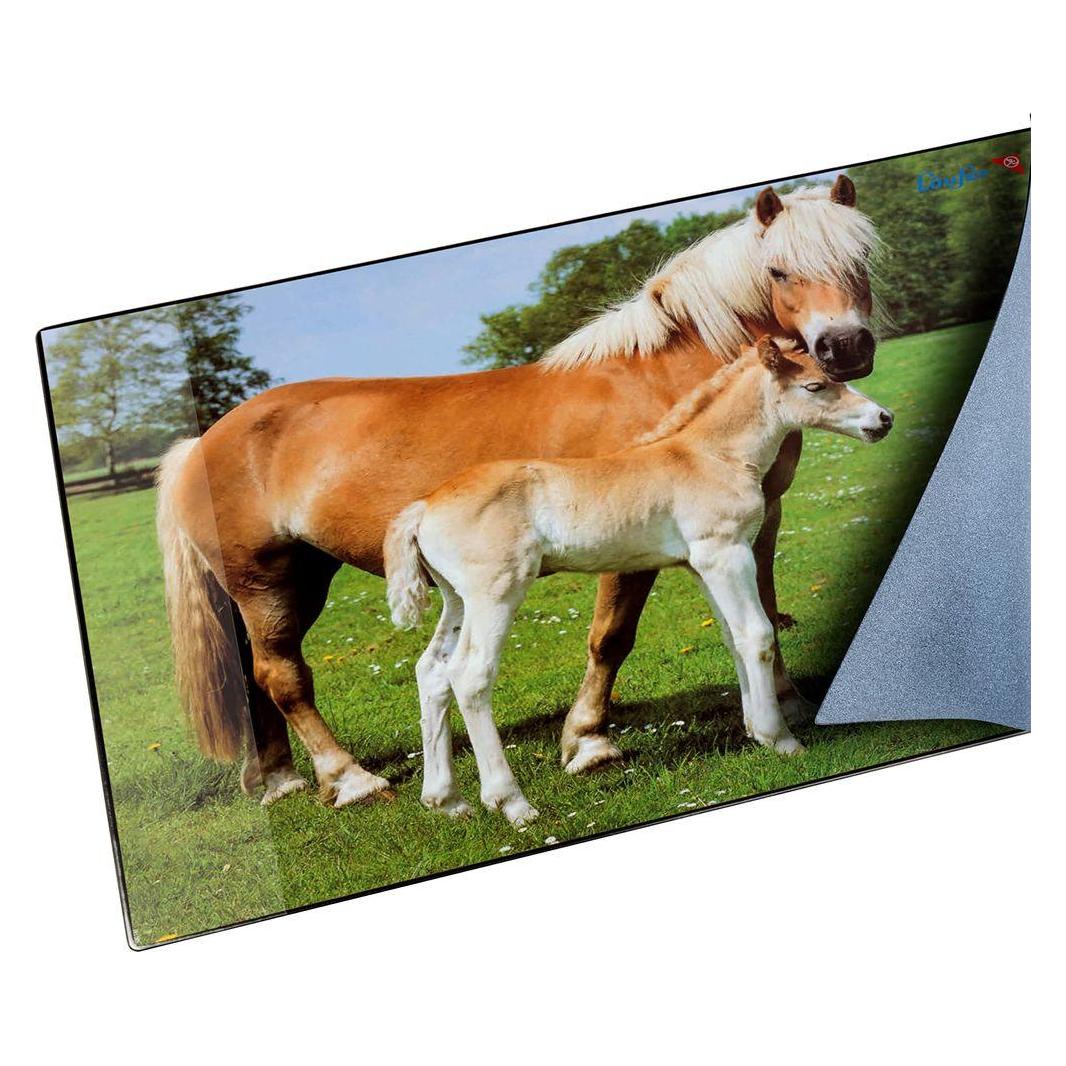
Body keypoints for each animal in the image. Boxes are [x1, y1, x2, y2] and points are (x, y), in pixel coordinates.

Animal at [384, 337, 893, 824]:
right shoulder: (725, 553)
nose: (882, 419)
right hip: (496, 592)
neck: (710, 456)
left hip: (456, 599)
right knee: (470, 676)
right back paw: (512, 803)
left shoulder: (701, 565)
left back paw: (447, 800)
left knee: (432, 672)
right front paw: (780, 738)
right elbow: (757, 635)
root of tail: (423, 507)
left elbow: (732, 637)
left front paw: (755, 730)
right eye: (815, 386)